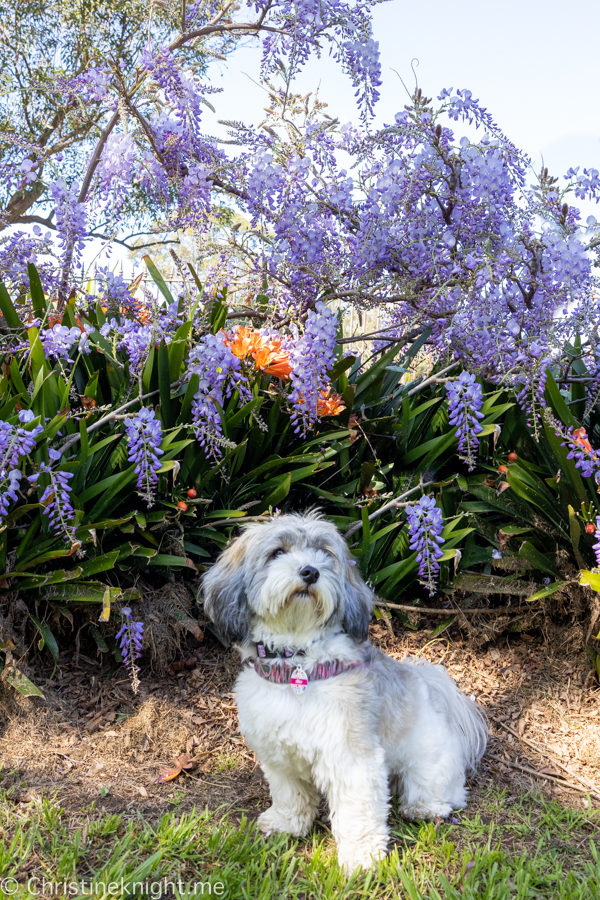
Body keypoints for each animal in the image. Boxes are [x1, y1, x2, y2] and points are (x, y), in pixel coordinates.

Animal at [202, 512, 488, 872]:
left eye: (324, 554)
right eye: (277, 553)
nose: (310, 571)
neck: (298, 663)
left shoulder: (351, 756)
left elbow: (357, 812)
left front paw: (361, 858)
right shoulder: (278, 755)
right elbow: (290, 793)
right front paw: (287, 823)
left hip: (429, 762)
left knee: (444, 791)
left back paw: (424, 807)